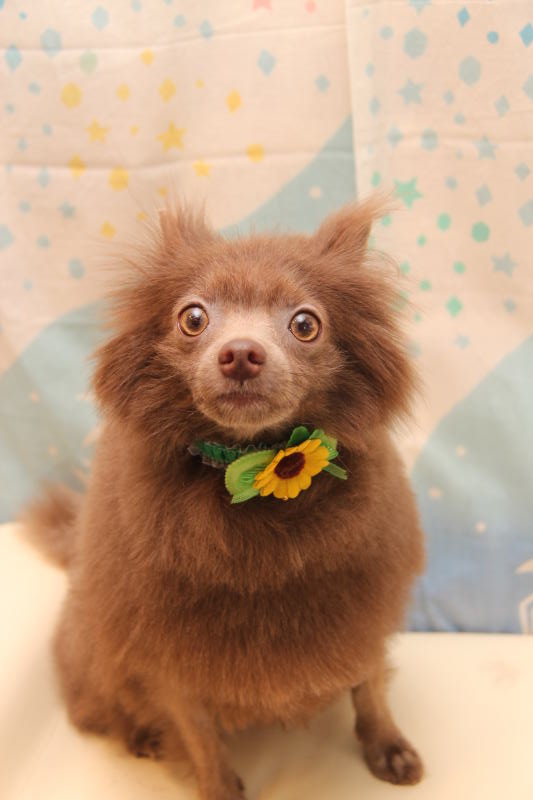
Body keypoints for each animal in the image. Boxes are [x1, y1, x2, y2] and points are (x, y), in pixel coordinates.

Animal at [24, 198, 425, 799]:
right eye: (193, 318)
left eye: (305, 324)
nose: (241, 352)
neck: (251, 471)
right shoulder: (163, 654)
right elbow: (199, 737)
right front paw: (217, 786)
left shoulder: (360, 610)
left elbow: (370, 685)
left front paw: (387, 746)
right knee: (97, 704)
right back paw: (139, 735)